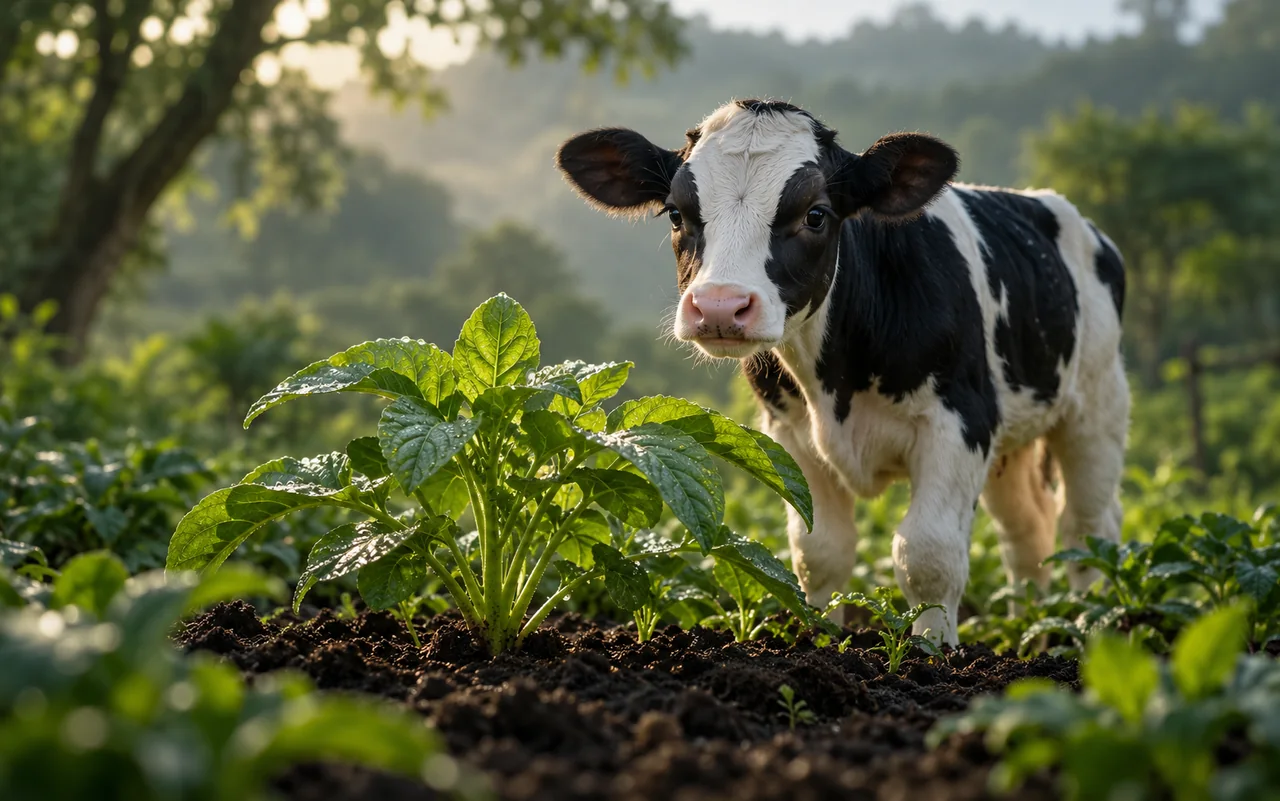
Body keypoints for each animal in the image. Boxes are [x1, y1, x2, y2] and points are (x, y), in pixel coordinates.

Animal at [555, 100, 1128, 645]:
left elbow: (928, 554)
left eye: (816, 214)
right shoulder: (789, 433)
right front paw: (820, 636)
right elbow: (819, 552)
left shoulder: (960, 421)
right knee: (1027, 534)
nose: (720, 306)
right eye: (676, 213)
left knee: (1087, 530)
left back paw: (1089, 629)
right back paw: (1031, 631)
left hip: (1096, 408)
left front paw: (933, 651)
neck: (837, 382)